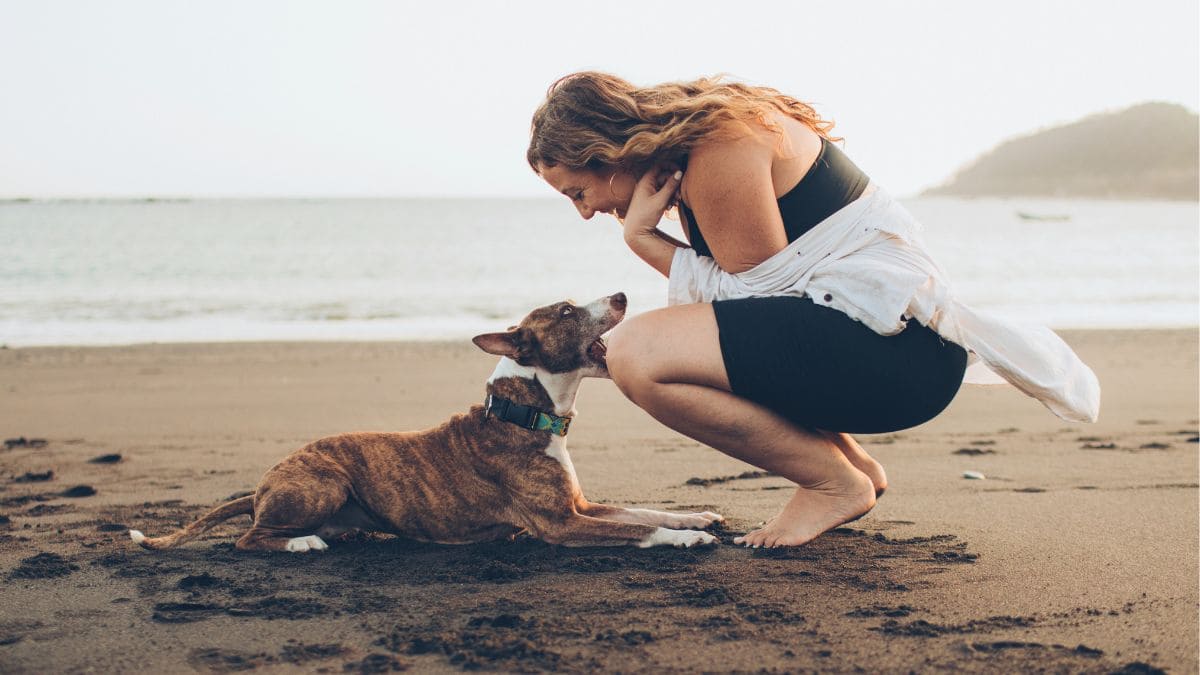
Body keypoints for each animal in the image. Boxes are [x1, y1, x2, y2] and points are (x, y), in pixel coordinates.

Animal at [136, 291, 724, 550]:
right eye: (565, 311)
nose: (622, 295)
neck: (525, 411)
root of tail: (262, 484)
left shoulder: (581, 505)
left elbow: (643, 510)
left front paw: (695, 519)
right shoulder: (561, 523)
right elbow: (637, 530)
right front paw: (682, 541)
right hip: (323, 481)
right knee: (250, 538)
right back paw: (303, 543)